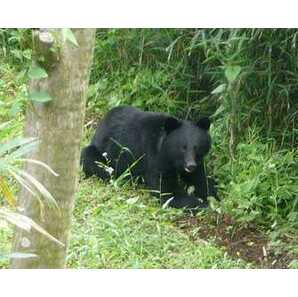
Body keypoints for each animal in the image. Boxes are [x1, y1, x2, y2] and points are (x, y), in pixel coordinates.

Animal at [80, 106, 213, 208]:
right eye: (183, 147)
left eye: (197, 147)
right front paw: (202, 205)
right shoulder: (155, 158)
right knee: (92, 160)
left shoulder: (198, 162)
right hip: (102, 154)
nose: (190, 166)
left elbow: (201, 180)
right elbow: (166, 191)